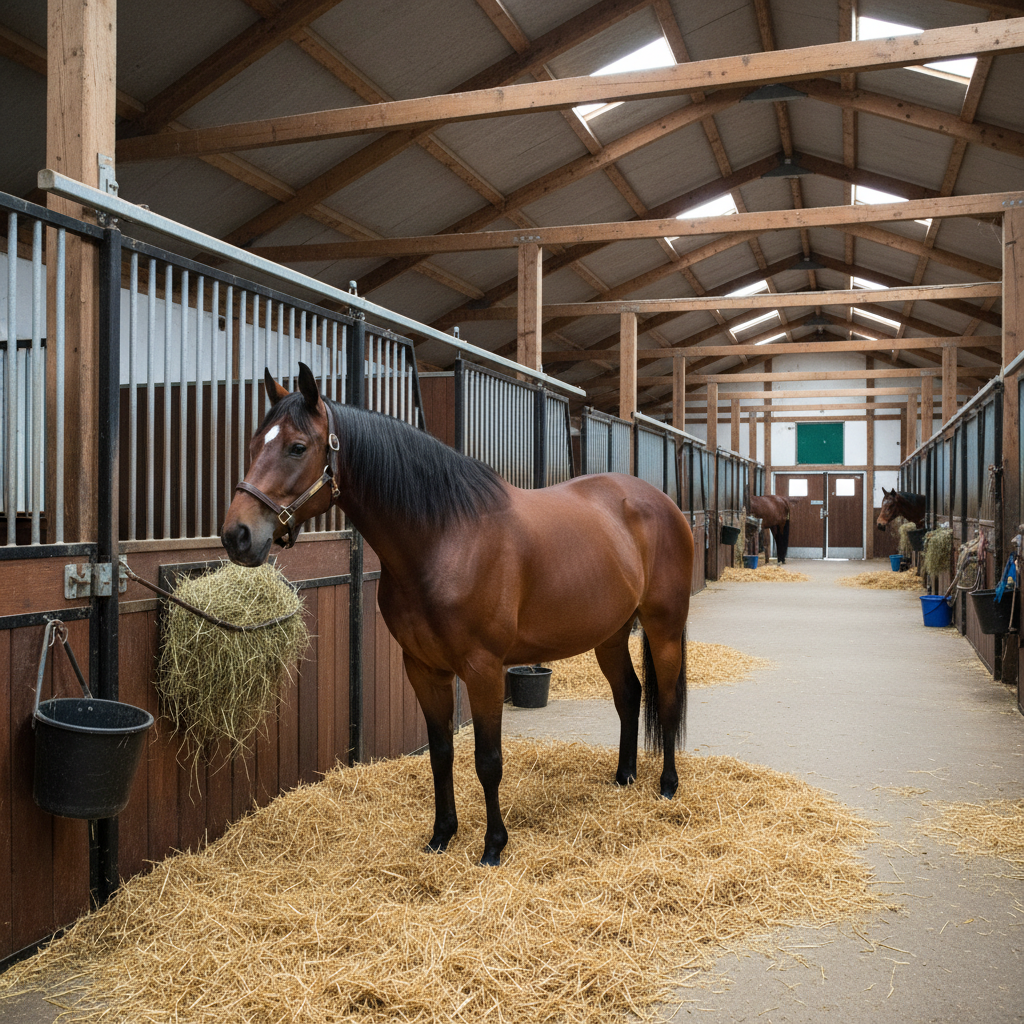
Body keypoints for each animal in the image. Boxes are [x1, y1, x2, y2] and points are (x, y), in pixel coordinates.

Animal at [221, 364, 695, 867]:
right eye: (254, 443)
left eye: (297, 446)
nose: (237, 535)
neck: (445, 539)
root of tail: (661, 503)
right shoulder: (424, 669)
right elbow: (441, 753)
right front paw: (441, 835)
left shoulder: (483, 670)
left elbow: (488, 761)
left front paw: (493, 846)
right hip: (610, 635)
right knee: (629, 695)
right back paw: (624, 777)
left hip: (663, 629)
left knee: (665, 701)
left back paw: (667, 785)